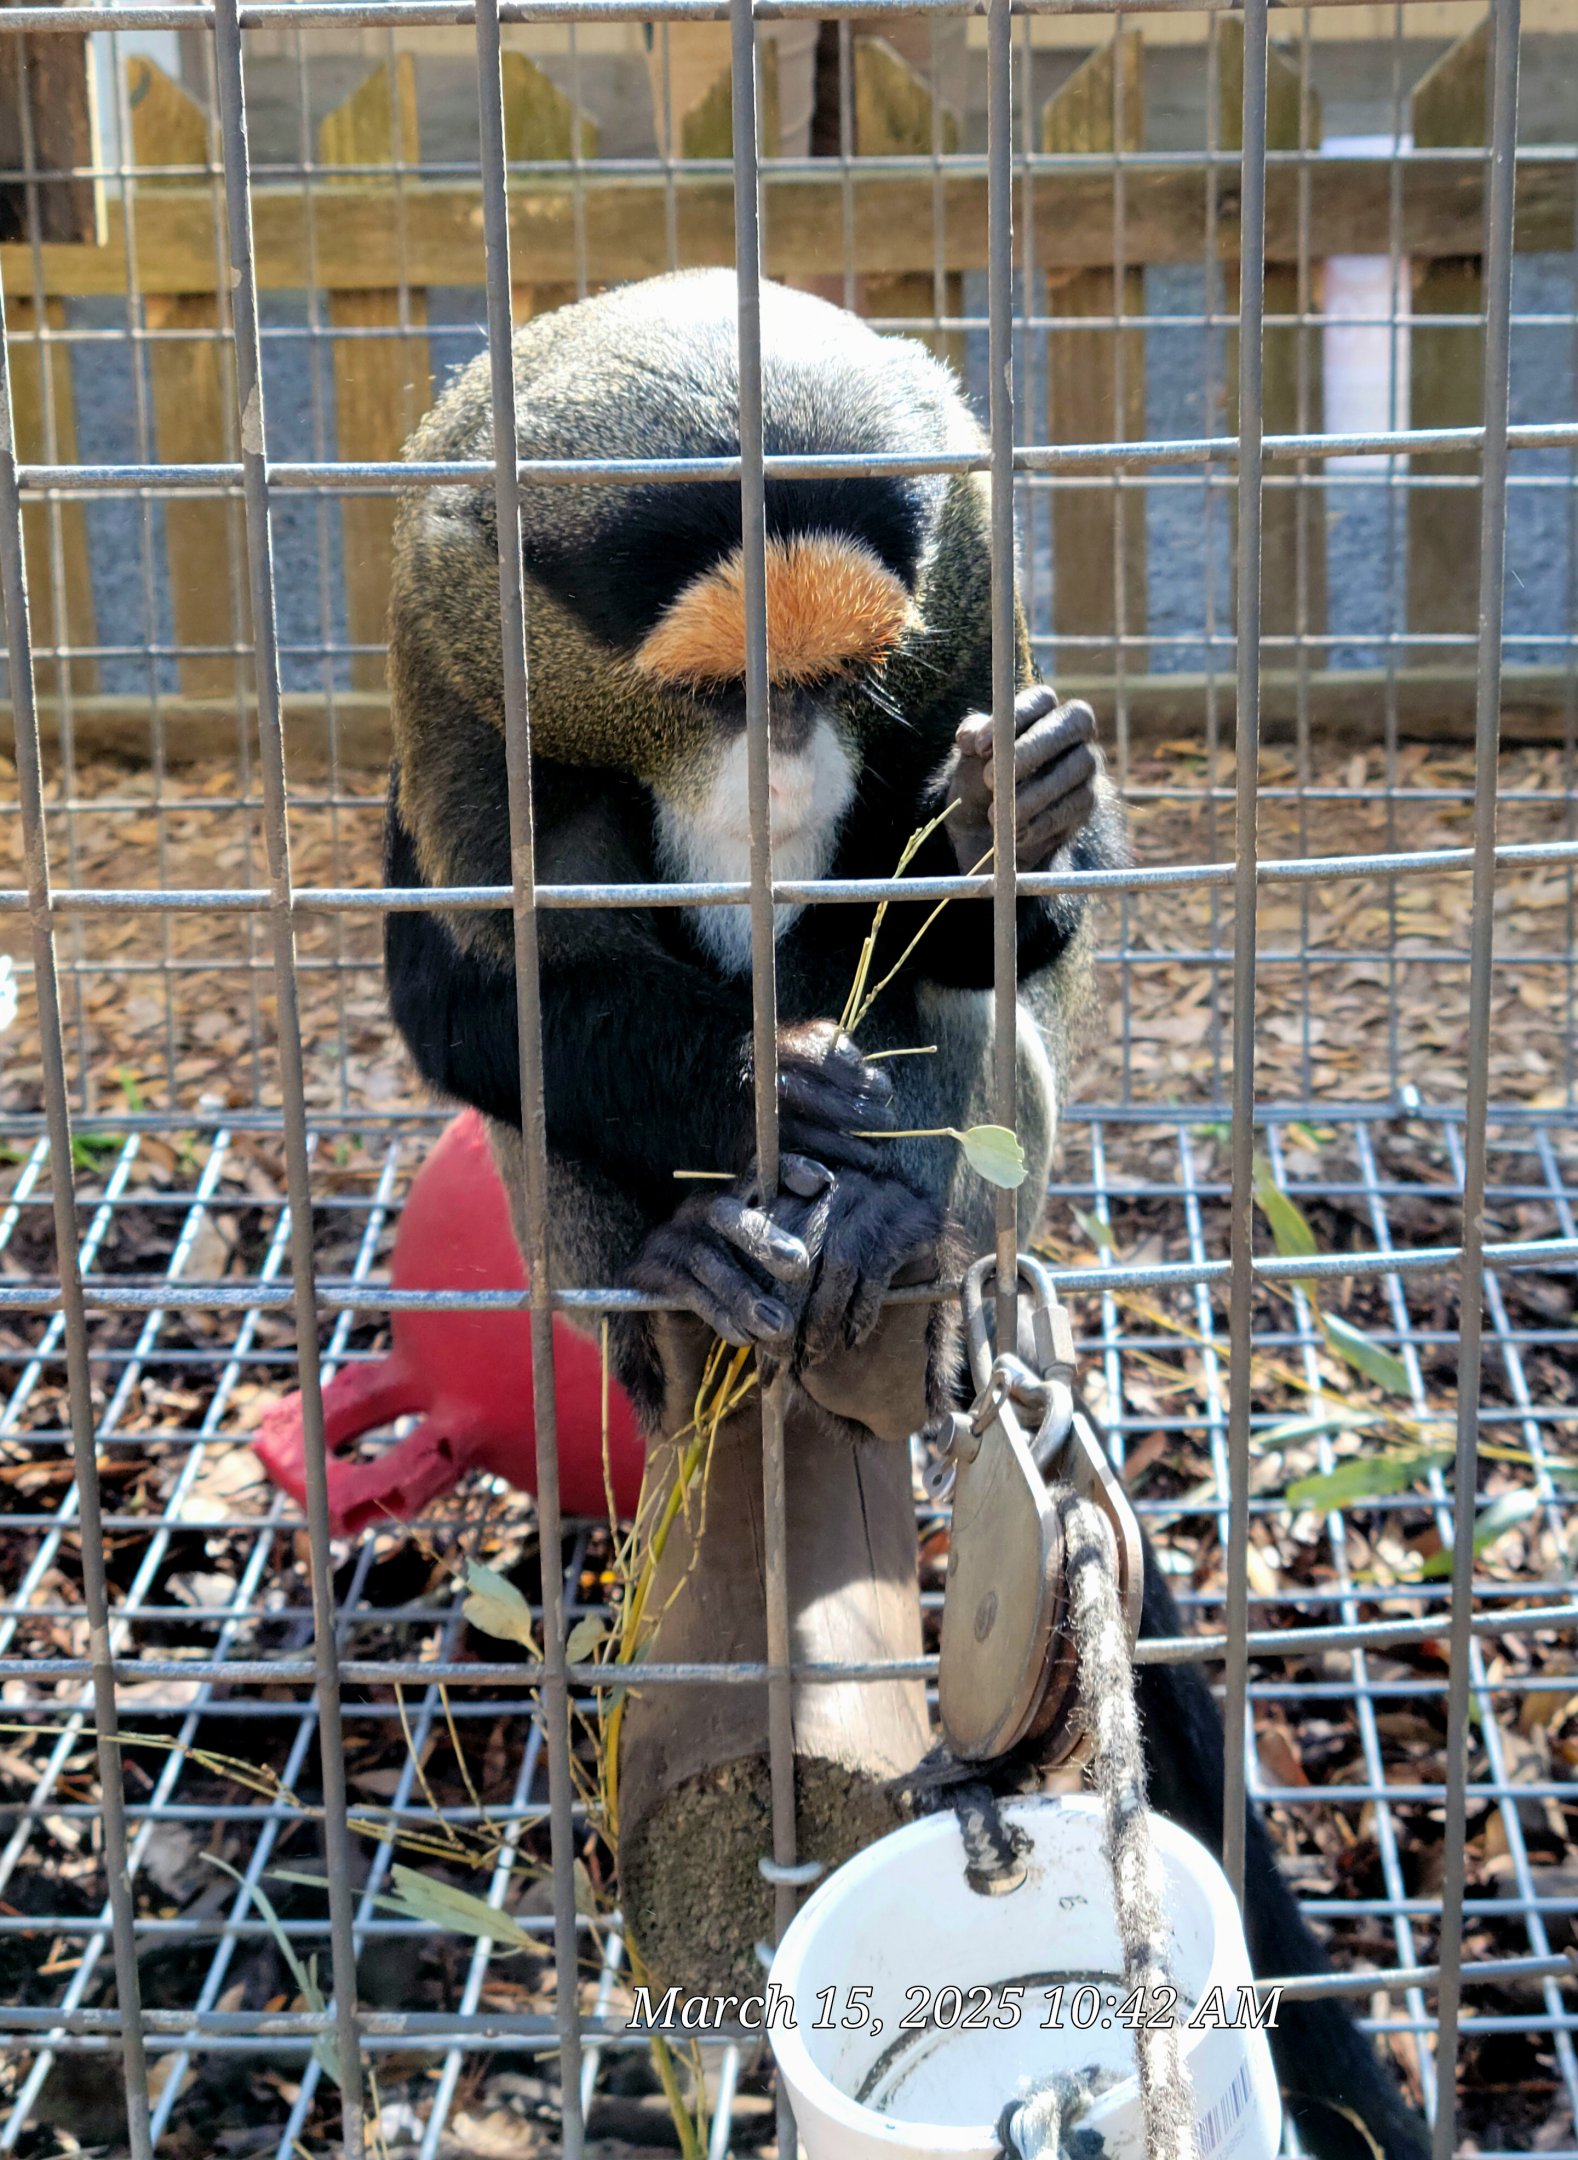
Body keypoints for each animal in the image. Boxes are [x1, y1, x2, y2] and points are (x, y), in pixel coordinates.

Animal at [382, 270, 1427, 2160]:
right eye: (723, 689)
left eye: (844, 678)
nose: (789, 763)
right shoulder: (443, 636)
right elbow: (485, 981)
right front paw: (748, 1097)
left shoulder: (972, 577)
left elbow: (999, 926)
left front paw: (1003, 840)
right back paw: (694, 1262)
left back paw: (896, 1239)